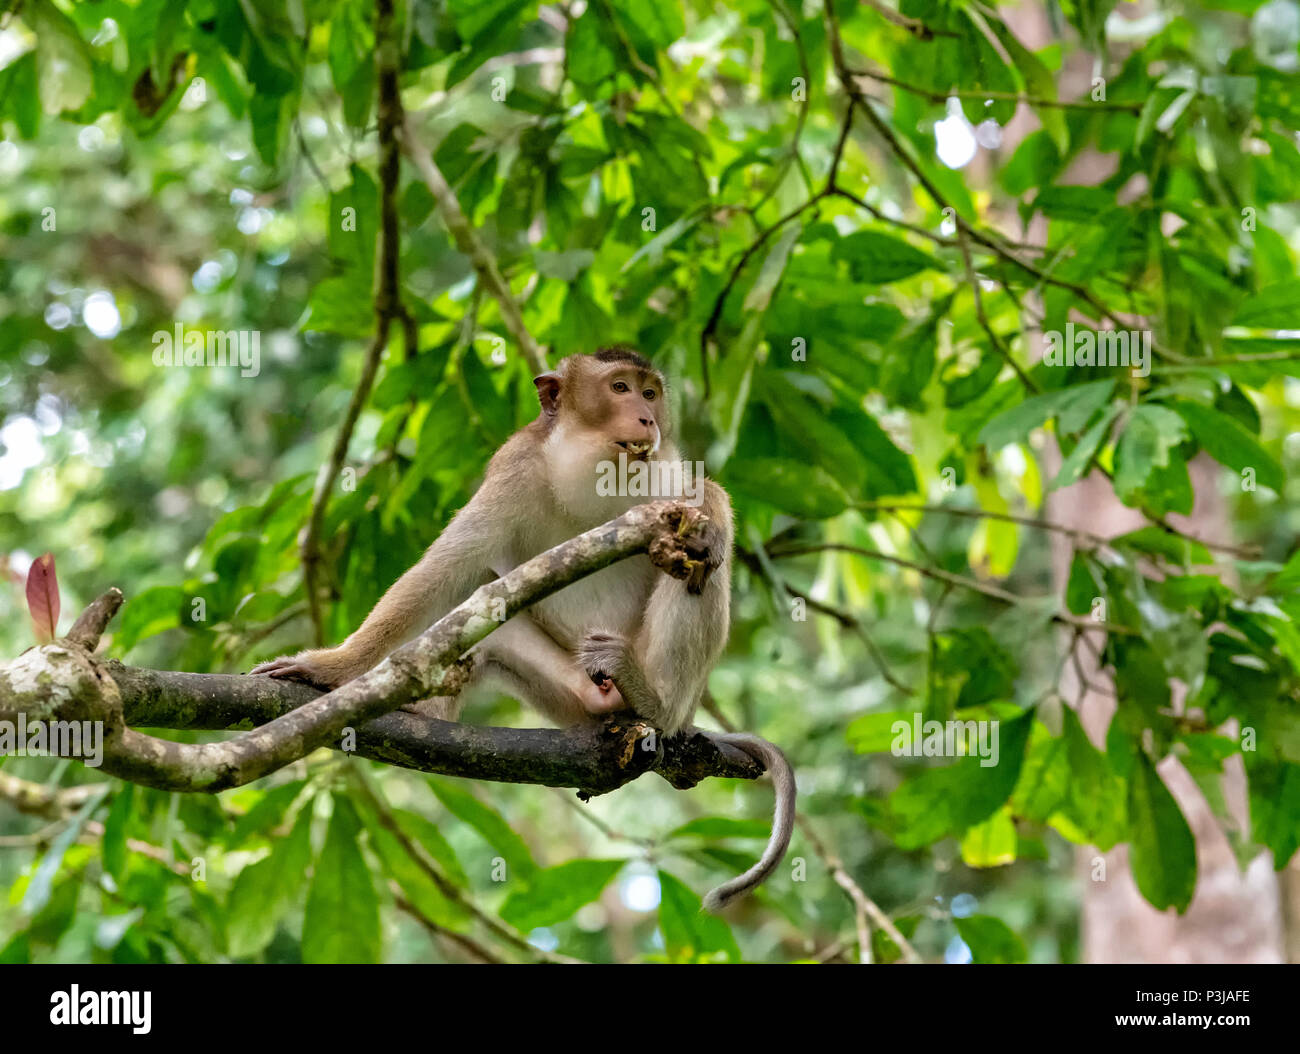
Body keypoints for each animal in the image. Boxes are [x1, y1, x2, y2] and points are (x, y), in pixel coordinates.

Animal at [252, 347, 794, 911]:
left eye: (650, 393)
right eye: (619, 388)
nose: (647, 418)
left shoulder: (664, 468)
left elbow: (703, 495)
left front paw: (710, 526)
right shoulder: (515, 469)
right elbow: (447, 570)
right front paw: (333, 668)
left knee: (696, 566)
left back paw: (654, 701)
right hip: (569, 696)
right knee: (481, 608)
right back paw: (426, 710)